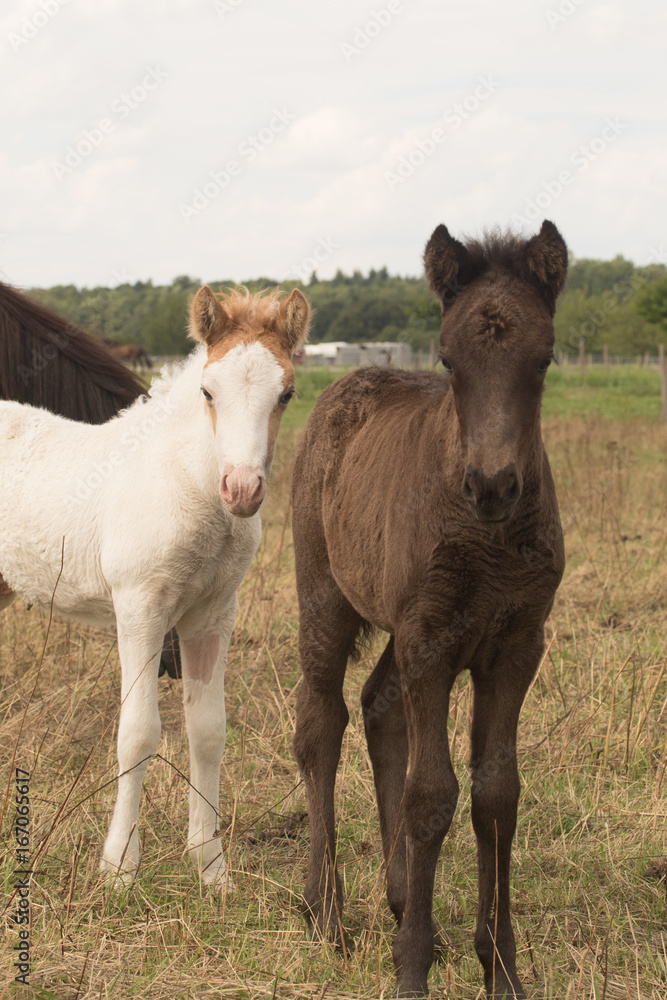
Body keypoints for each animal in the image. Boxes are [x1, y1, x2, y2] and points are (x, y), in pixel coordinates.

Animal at [0, 286, 310, 888]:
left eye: (287, 394)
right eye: (208, 391)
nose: (241, 489)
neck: (185, 482)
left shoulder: (213, 613)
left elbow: (208, 730)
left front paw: (210, 866)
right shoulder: (139, 608)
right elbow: (138, 733)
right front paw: (119, 867)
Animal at [292, 221, 568, 1000]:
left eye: (544, 358)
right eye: (448, 359)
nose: (492, 485)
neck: (491, 541)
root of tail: (345, 385)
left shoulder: (513, 646)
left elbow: (496, 795)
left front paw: (499, 966)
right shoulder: (431, 642)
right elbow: (431, 794)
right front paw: (410, 967)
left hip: (402, 626)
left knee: (378, 705)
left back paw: (395, 901)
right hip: (324, 594)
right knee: (320, 723)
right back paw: (328, 913)